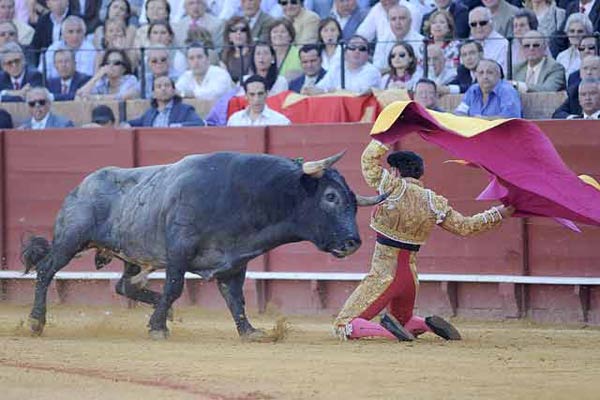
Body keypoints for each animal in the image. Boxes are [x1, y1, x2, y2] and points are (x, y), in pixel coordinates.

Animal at [21, 152, 386, 340]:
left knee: (124, 286)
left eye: (354, 202)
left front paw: (250, 331)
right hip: (70, 239)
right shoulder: (179, 251)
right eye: (331, 197)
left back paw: (160, 309)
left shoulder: (235, 262)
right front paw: (157, 328)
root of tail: (81, 186)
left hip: (132, 256)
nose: (353, 242)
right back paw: (37, 322)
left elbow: (235, 298)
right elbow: (175, 287)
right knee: (46, 270)